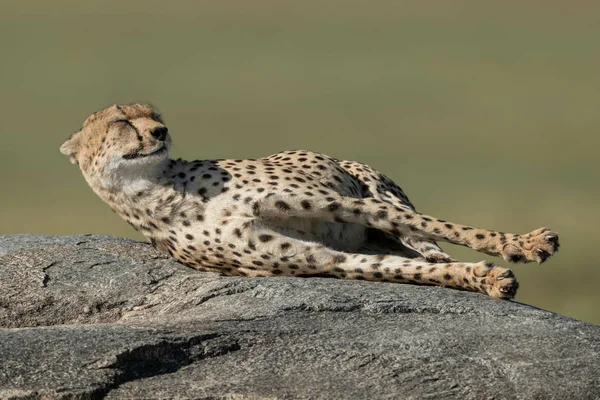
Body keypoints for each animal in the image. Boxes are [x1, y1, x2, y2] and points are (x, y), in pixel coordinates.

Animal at [61, 104, 556, 298]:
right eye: (122, 121)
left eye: (156, 116)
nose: (161, 132)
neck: (159, 192)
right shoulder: (320, 259)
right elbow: (397, 270)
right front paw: (481, 277)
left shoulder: (333, 201)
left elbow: (448, 227)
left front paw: (523, 244)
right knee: (413, 251)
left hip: (371, 185)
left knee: (416, 230)